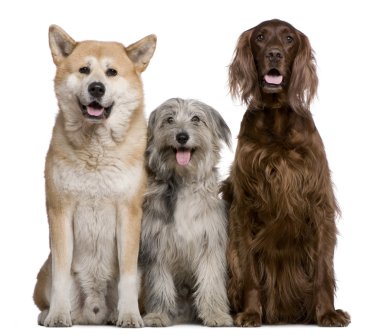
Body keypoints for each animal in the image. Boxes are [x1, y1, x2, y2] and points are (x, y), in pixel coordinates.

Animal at [32, 25, 157, 328]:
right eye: (84, 70)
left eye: (111, 72)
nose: (96, 88)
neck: (96, 150)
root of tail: (94, 312)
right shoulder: (60, 210)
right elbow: (61, 273)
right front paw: (58, 315)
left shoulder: (129, 212)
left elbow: (127, 275)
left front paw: (129, 315)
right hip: (43, 274)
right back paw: (48, 313)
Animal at [140, 98, 233, 326]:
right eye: (169, 119)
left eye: (196, 119)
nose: (182, 136)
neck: (183, 181)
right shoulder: (157, 248)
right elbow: (160, 285)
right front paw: (158, 314)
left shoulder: (210, 244)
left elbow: (210, 281)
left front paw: (215, 314)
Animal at [223, 19, 350, 328]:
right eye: (260, 37)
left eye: (289, 38)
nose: (274, 54)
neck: (276, 116)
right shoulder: (244, 205)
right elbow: (251, 273)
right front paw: (251, 313)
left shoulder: (319, 203)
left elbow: (322, 271)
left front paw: (327, 314)